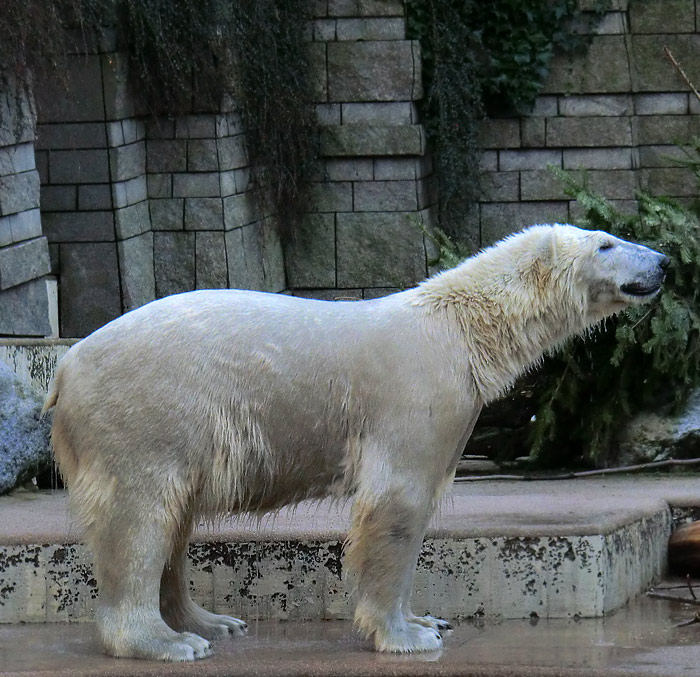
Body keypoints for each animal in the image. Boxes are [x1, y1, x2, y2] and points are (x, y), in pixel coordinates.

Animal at [45, 224, 668, 656]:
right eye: (607, 243)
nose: (664, 261)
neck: (463, 331)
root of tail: (66, 367)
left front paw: (427, 619)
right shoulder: (415, 391)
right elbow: (397, 502)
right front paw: (405, 637)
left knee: (176, 517)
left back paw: (211, 622)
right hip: (147, 413)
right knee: (140, 516)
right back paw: (166, 642)